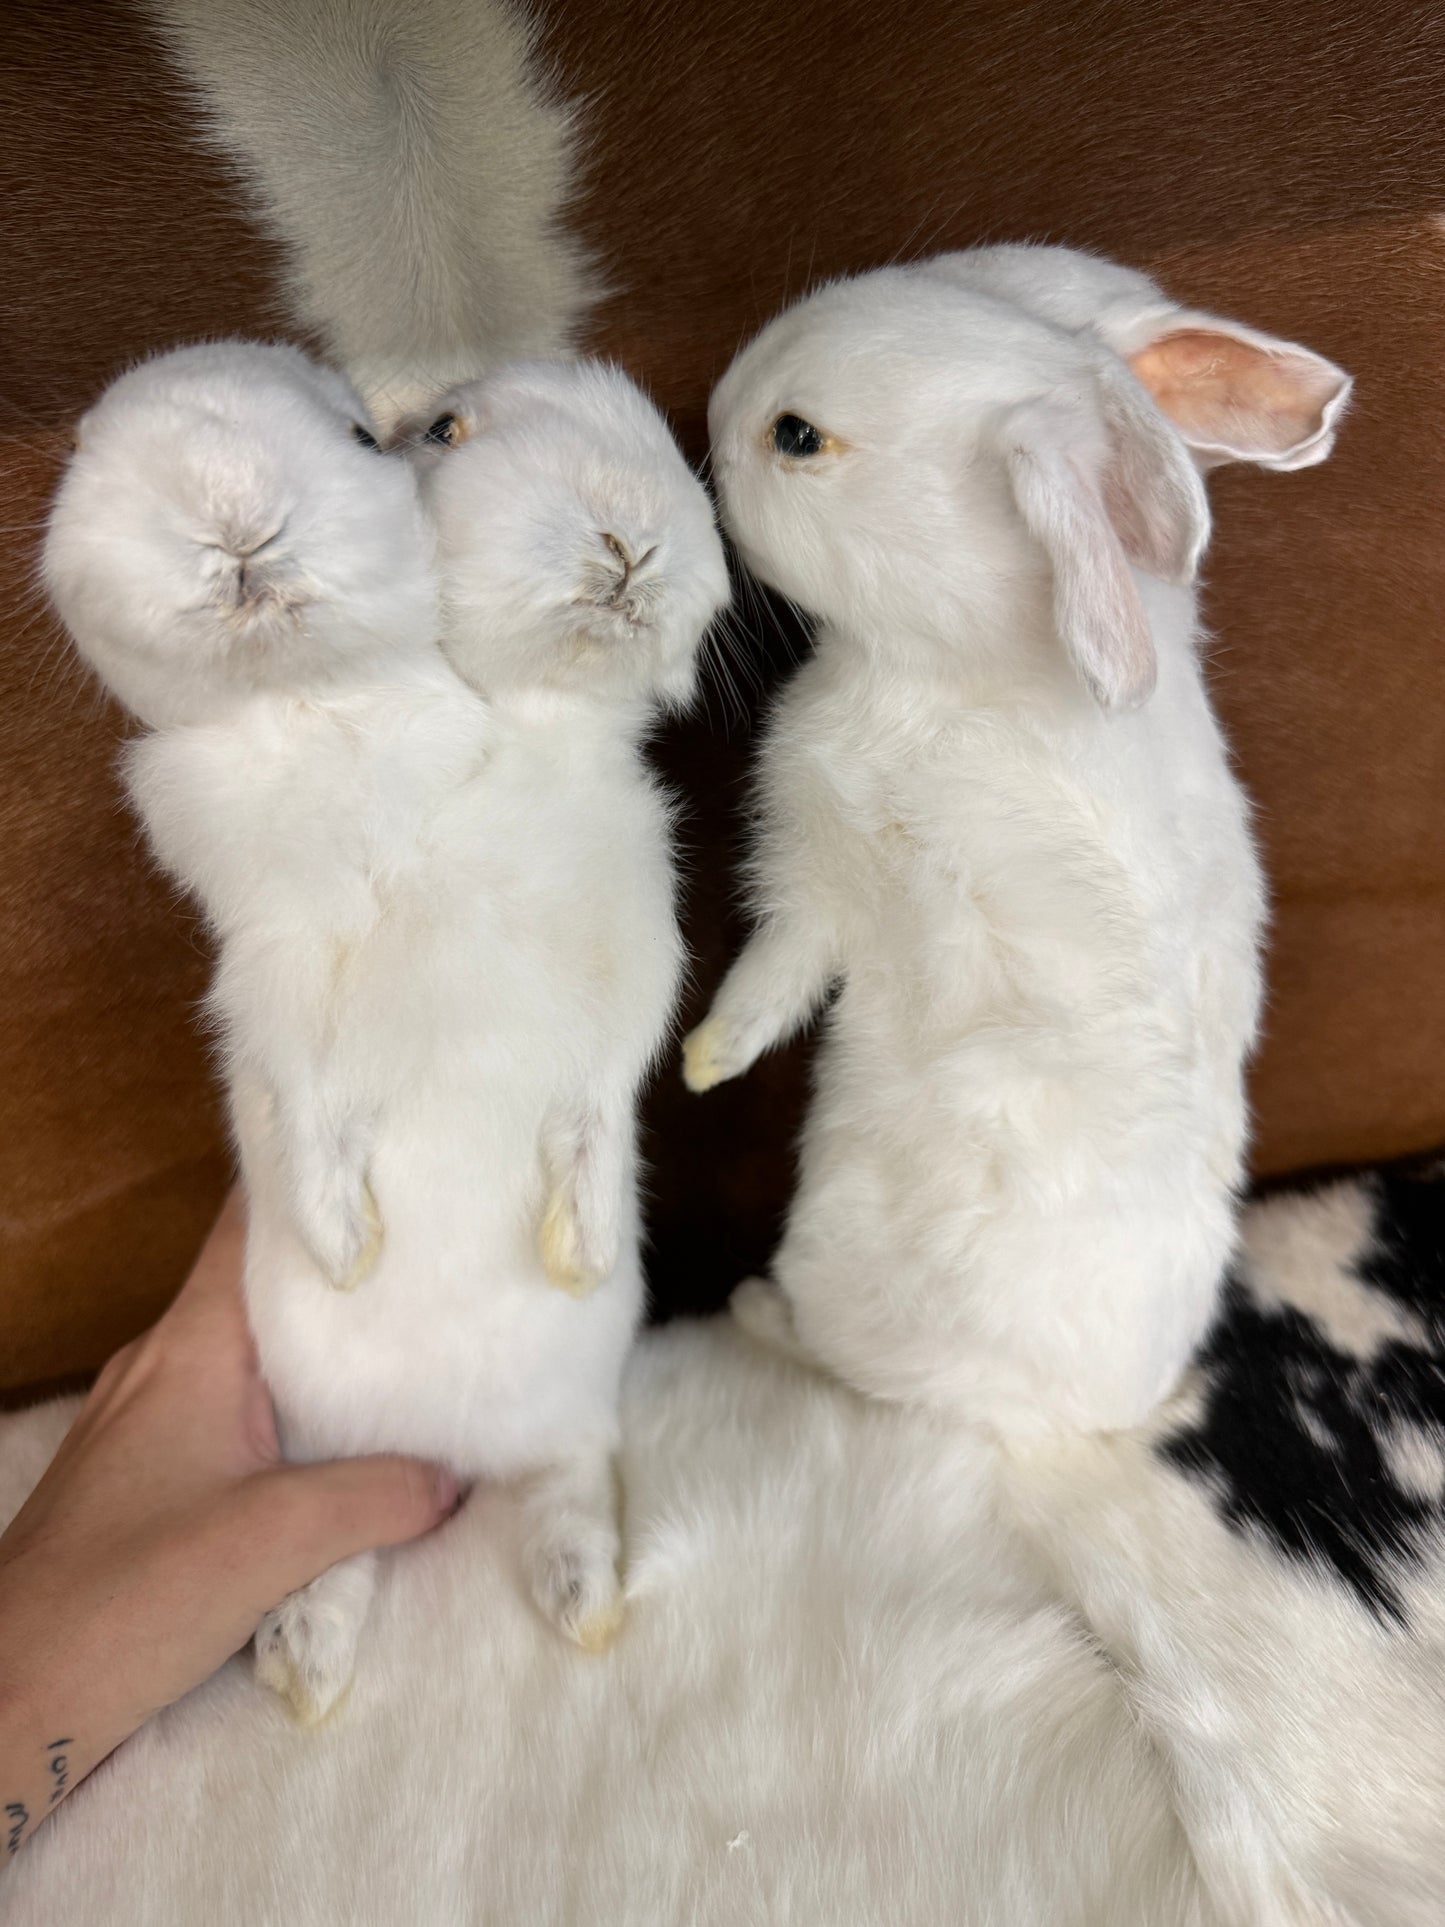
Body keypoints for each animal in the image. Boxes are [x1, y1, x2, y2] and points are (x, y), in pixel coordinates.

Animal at [43, 341, 727, 1725]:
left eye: (377, 436)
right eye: (440, 432)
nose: (629, 524)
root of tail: (452, 1442)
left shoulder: (614, 1016)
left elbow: (590, 1126)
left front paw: (578, 1253)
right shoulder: (281, 1011)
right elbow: (312, 1135)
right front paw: (349, 1257)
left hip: (569, 1405)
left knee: (565, 1480)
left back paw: (582, 1598)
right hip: (324, 1445)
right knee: (342, 1545)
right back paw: (307, 1657)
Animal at [687, 248, 1351, 1437]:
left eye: (797, 436)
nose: (705, 418)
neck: (958, 665)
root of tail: (1074, 1416)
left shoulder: (823, 871)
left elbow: (772, 974)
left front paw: (701, 1062)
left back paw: (757, 1309)